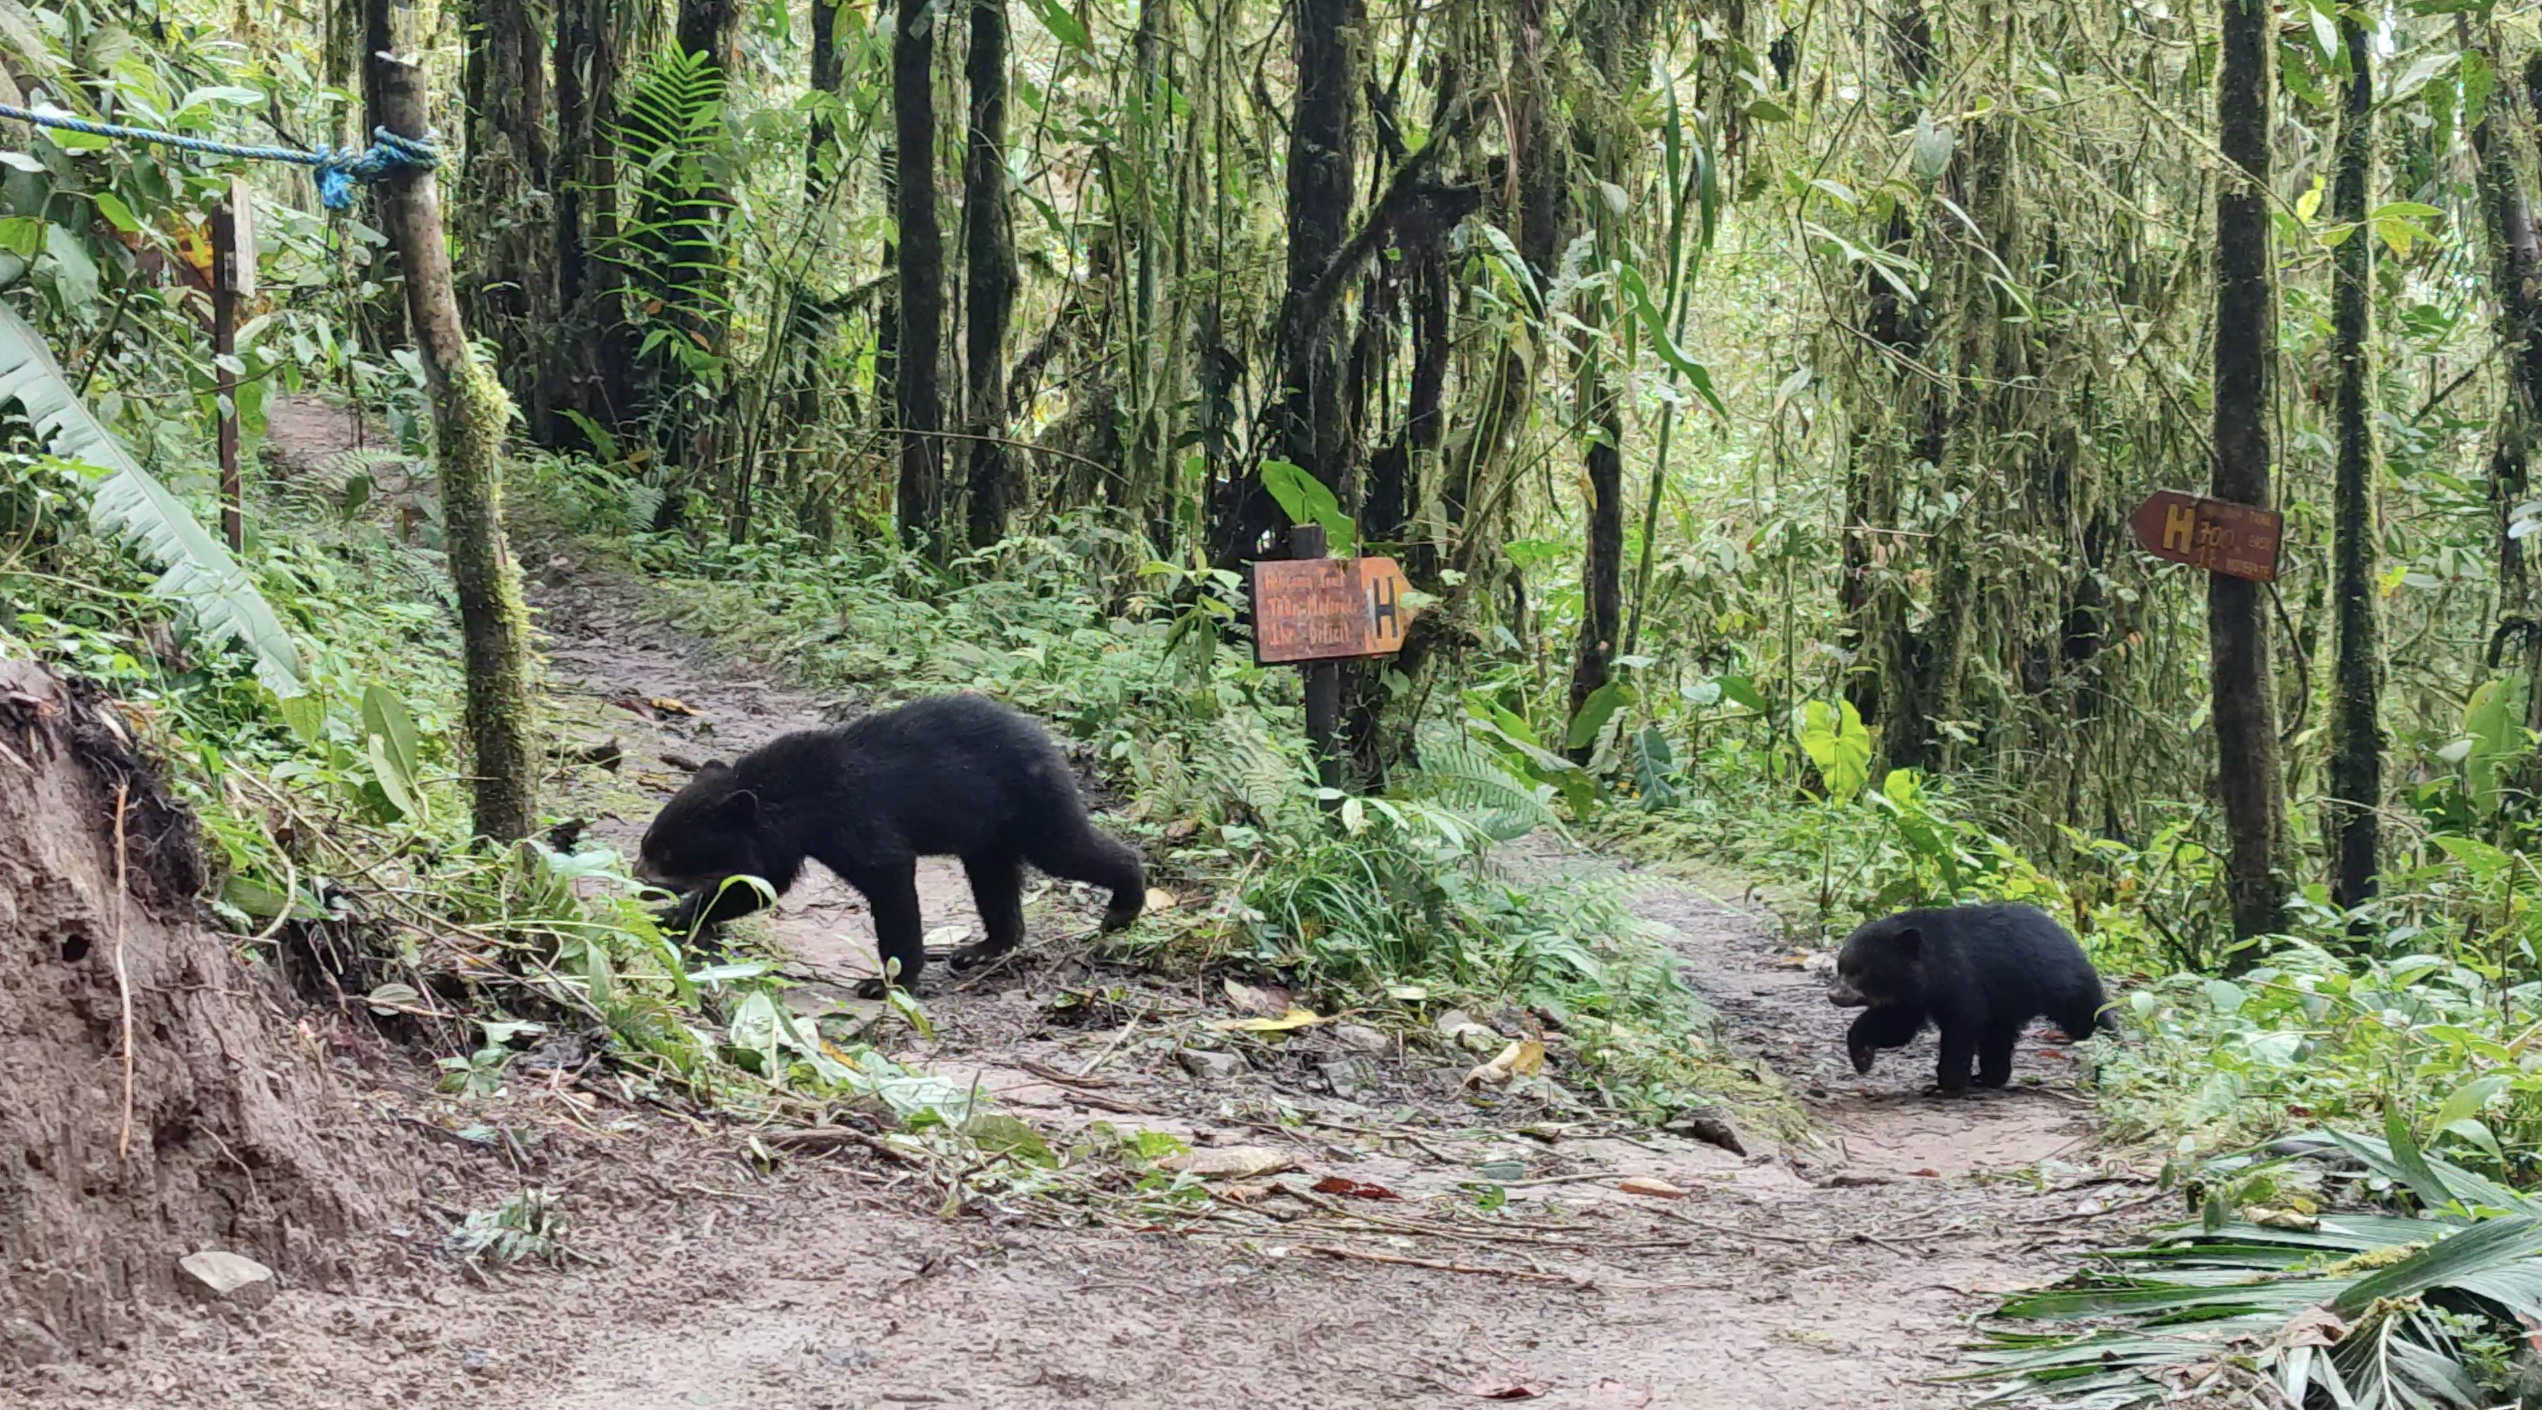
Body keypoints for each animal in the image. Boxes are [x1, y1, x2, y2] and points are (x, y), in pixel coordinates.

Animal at [635, 693, 1145, 997]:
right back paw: (982, 948)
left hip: (1031, 804)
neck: (793, 800)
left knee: (1069, 850)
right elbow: (758, 886)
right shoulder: (782, 841)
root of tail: (1047, 742)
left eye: (666, 854)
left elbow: (889, 877)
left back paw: (1123, 906)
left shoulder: (852, 817)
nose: (638, 881)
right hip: (988, 832)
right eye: (648, 842)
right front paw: (673, 917)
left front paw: (886, 982)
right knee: (994, 882)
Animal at [1826, 902, 2114, 1093]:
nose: (1834, 995)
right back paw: (1989, 1077)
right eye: (1841, 967)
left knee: (2087, 1013)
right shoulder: (1913, 998)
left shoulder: (1964, 983)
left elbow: (1961, 1029)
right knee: (1998, 1038)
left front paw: (1949, 1081)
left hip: (2061, 984)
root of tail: (2072, 939)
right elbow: (1896, 1027)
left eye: (1861, 971)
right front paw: (1862, 1058)